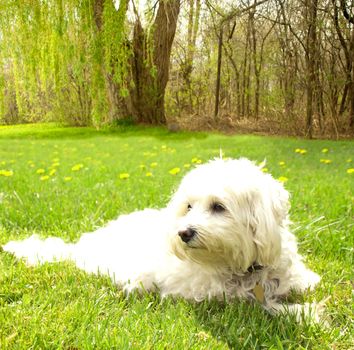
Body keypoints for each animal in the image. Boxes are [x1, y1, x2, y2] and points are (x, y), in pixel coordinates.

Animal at [2, 160, 322, 322]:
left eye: (219, 206)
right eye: (188, 206)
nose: (184, 233)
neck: (243, 267)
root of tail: (80, 247)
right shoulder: (217, 296)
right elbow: (260, 305)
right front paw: (304, 313)